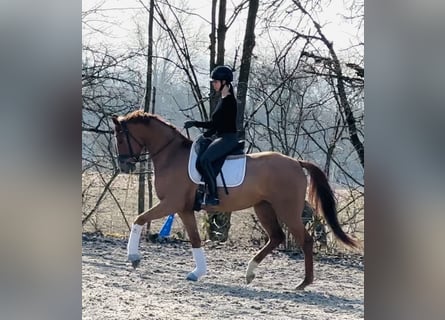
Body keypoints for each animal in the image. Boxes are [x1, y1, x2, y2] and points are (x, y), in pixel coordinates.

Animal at [112, 109, 358, 290]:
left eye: (120, 138)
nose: (124, 165)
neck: (171, 155)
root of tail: (297, 162)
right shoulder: (184, 209)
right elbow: (195, 240)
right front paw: (197, 273)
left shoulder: (171, 203)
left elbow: (139, 219)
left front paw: (133, 257)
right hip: (263, 208)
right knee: (276, 237)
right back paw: (250, 273)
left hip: (287, 210)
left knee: (304, 240)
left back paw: (303, 283)